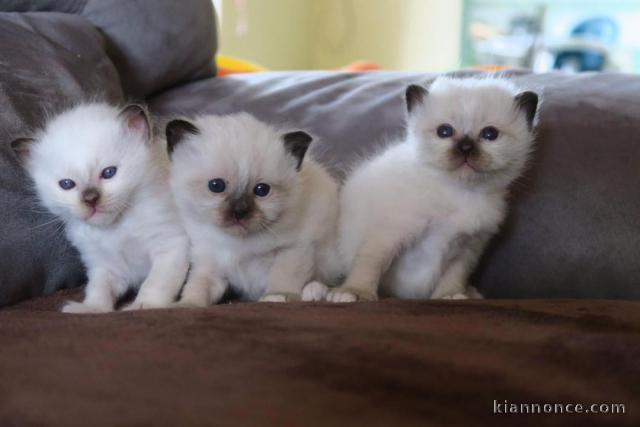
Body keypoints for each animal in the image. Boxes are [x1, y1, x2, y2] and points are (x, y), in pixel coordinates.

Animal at [12, 102, 190, 312]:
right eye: (67, 184)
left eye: (109, 173)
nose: (91, 199)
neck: (114, 229)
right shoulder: (105, 265)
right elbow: (98, 290)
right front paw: (89, 309)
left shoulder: (170, 246)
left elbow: (154, 284)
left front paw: (142, 306)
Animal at [168, 113, 342, 306]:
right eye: (216, 186)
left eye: (262, 190)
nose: (239, 212)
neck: (238, 243)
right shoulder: (209, 263)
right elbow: (197, 287)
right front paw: (187, 305)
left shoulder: (292, 249)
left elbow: (283, 277)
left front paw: (277, 296)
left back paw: (314, 291)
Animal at [324, 77, 540, 304]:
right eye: (444, 131)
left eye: (490, 134)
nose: (465, 148)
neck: (461, 193)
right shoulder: (390, 232)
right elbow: (370, 263)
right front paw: (355, 292)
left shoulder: (466, 250)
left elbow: (454, 277)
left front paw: (450, 296)